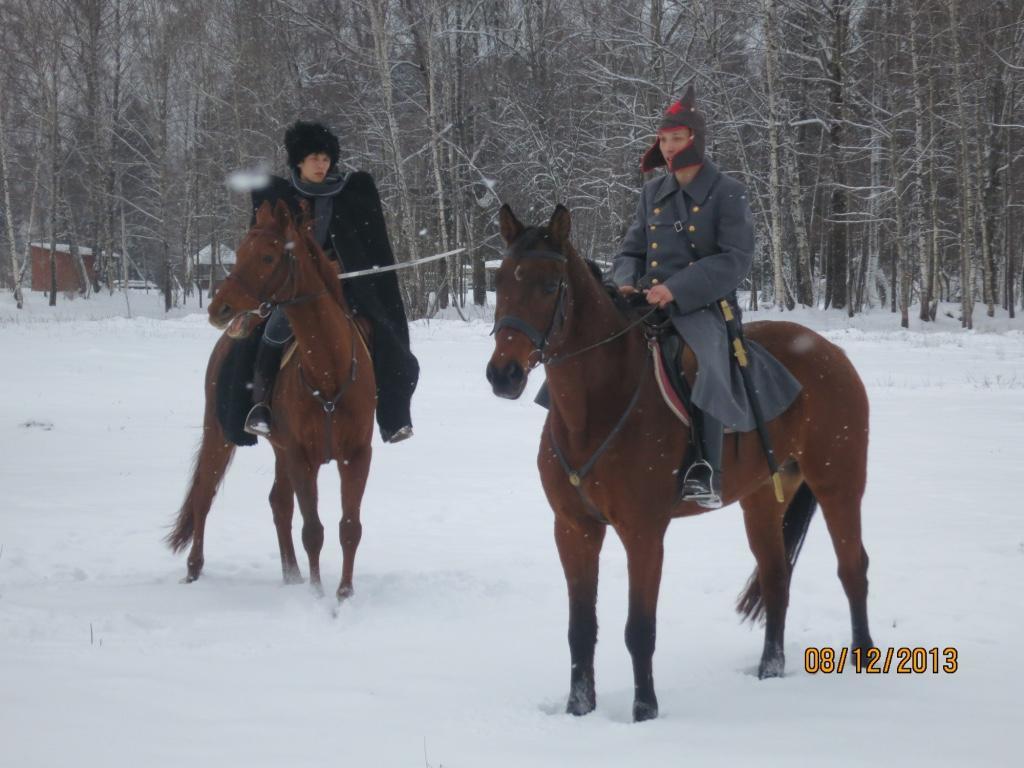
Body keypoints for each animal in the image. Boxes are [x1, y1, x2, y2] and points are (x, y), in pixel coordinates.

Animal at [167, 199, 376, 602]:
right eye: (239, 252)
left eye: (267, 256)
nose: (218, 309)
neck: (328, 373)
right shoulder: (300, 456)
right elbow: (313, 530)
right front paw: (318, 594)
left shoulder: (355, 456)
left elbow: (350, 527)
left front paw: (344, 593)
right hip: (220, 434)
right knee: (204, 494)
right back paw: (193, 569)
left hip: (278, 450)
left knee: (278, 503)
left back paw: (291, 574)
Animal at [485, 204, 872, 720]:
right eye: (500, 280)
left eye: (549, 285)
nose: (502, 374)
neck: (596, 406)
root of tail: (831, 352)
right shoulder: (573, 528)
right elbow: (580, 628)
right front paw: (578, 708)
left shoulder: (644, 533)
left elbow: (639, 629)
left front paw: (644, 710)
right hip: (762, 502)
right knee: (776, 576)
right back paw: (770, 670)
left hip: (839, 485)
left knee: (853, 569)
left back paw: (864, 661)